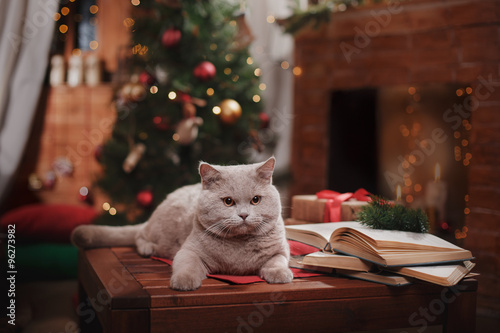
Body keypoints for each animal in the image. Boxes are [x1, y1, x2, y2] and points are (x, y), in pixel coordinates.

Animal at [70, 157, 292, 290]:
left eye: (255, 200)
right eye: (228, 201)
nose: (244, 214)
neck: (239, 247)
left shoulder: (280, 251)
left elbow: (276, 261)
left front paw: (280, 274)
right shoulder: (189, 251)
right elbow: (188, 265)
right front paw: (184, 281)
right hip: (159, 230)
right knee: (139, 234)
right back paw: (148, 249)